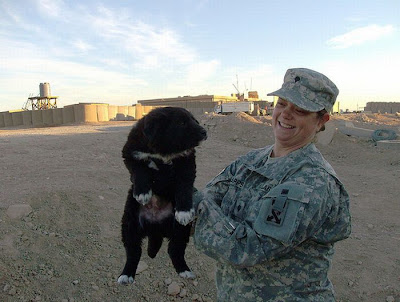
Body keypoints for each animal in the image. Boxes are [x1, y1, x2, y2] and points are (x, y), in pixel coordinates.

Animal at [117, 107, 206, 284]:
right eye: (181, 123)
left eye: (194, 120)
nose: (204, 132)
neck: (164, 150)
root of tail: (155, 229)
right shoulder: (131, 154)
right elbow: (140, 172)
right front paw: (143, 193)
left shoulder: (186, 163)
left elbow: (184, 188)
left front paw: (184, 211)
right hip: (130, 222)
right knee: (133, 251)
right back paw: (126, 275)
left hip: (180, 230)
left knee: (175, 250)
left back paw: (184, 271)